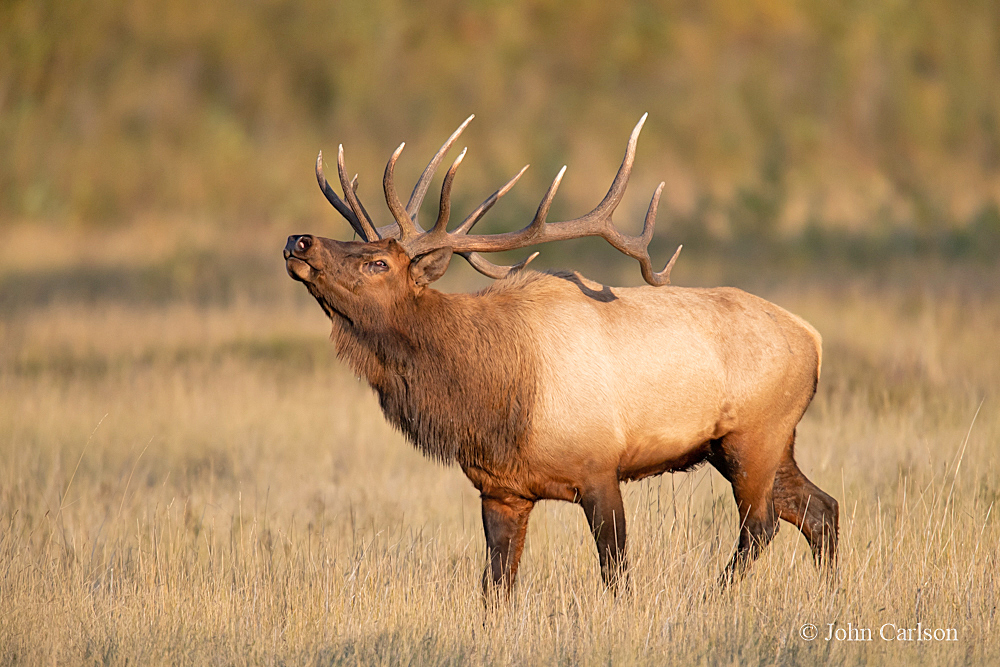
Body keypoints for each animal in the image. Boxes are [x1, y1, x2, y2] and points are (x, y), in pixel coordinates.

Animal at [282, 115, 836, 600]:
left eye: (378, 262)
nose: (298, 240)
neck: (491, 400)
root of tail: (813, 339)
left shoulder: (600, 467)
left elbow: (616, 573)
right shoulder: (500, 490)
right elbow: (496, 587)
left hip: (755, 433)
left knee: (761, 524)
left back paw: (711, 594)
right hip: (755, 442)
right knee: (821, 508)